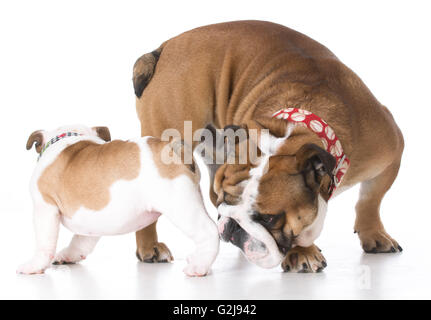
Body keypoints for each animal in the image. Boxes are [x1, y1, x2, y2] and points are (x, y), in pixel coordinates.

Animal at [16, 124, 219, 276]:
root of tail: (173, 147)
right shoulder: (92, 218)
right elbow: (80, 241)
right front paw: (69, 255)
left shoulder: (45, 207)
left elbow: (44, 243)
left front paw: (34, 266)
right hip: (193, 197)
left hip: (181, 205)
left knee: (209, 231)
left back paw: (199, 266)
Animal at [132, 20, 404, 272]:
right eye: (226, 200)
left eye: (269, 218)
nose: (233, 225)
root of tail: (164, 48)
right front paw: (303, 253)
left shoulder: (391, 152)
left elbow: (370, 200)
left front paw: (373, 235)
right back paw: (150, 248)